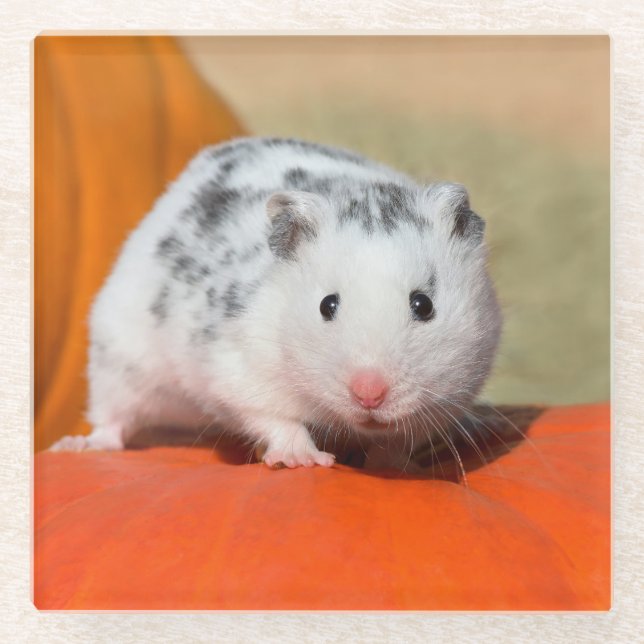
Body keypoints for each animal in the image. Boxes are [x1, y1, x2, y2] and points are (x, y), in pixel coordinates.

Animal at [50, 137, 502, 470]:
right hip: (118, 358)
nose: (369, 395)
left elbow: (397, 444)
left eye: (424, 305)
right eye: (327, 305)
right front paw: (304, 460)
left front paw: (392, 466)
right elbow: (277, 419)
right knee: (111, 419)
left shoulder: (453, 393)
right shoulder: (240, 373)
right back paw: (76, 446)